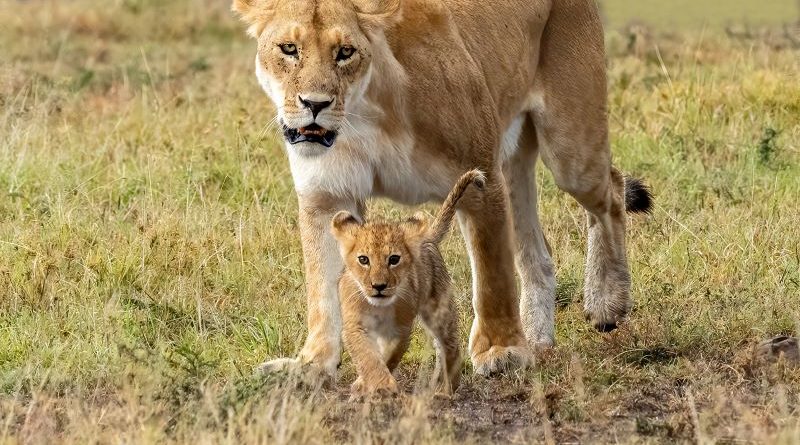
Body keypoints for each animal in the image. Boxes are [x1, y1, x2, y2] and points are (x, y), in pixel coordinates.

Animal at [332, 170, 486, 396]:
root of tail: (426, 237)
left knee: (450, 346)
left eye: (394, 259)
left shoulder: (401, 329)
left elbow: (389, 356)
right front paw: (373, 383)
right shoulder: (355, 325)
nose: (379, 286)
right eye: (363, 260)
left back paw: (447, 389)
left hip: (439, 310)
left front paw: (382, 386)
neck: (379, 307)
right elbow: (368, 357)